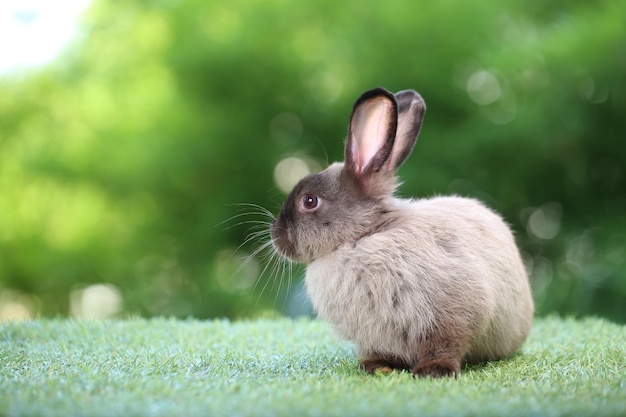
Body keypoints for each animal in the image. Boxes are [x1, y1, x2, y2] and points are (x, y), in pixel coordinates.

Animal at [268, 86, 532, 376]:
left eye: (309, 201)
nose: (274, 234)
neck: (363, 237)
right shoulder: (373, 337)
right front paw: (377, 368)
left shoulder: (454, 315)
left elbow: (446, 344)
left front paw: (434, 372)